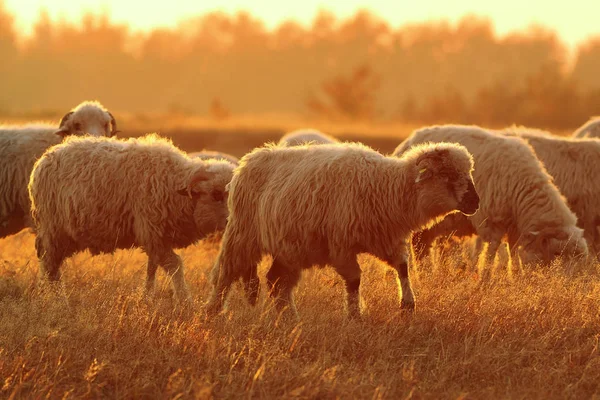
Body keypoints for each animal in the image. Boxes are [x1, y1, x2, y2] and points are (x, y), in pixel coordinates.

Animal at [28, 134, 234, 300]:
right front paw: (185, 301)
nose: (230, 221)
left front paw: (146, 297)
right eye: (216, 194)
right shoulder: (152, 230)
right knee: (50, 267)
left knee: (50, 267)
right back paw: (58, 300)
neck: (173, 183)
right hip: (54, 229)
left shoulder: (156, 237)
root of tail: (42, 162)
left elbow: (152, 267)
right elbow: (175, 265)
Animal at [206, 141, 478, 316]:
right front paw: (355, 314)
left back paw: (289, 317)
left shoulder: (386, 239)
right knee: (225, 273)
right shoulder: (341, 246)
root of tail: (249, 159)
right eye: (447, 174)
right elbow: (355, 280)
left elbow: (403, 267)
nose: (475, 202)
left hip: (290, 248)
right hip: (242, 235)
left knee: (275, 281)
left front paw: (408, 305)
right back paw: (213, 311)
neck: (387, 187)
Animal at [394, 123, 584, 270]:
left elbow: (514, 261)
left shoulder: (515, 231)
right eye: (557, 253)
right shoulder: (492, 224)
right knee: (419, 248)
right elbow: (489, 259)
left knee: (423, 247)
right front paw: (483, 284)